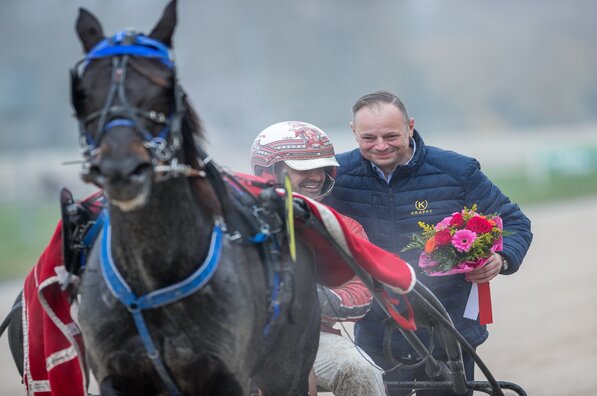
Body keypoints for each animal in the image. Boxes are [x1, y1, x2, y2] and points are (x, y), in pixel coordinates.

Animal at [70, 1, 322, 394]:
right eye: (82, 93)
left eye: (165, 89)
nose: (121, 169)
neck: (151, 279)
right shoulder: (115, 374)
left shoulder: (226, 375)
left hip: (288, 367)